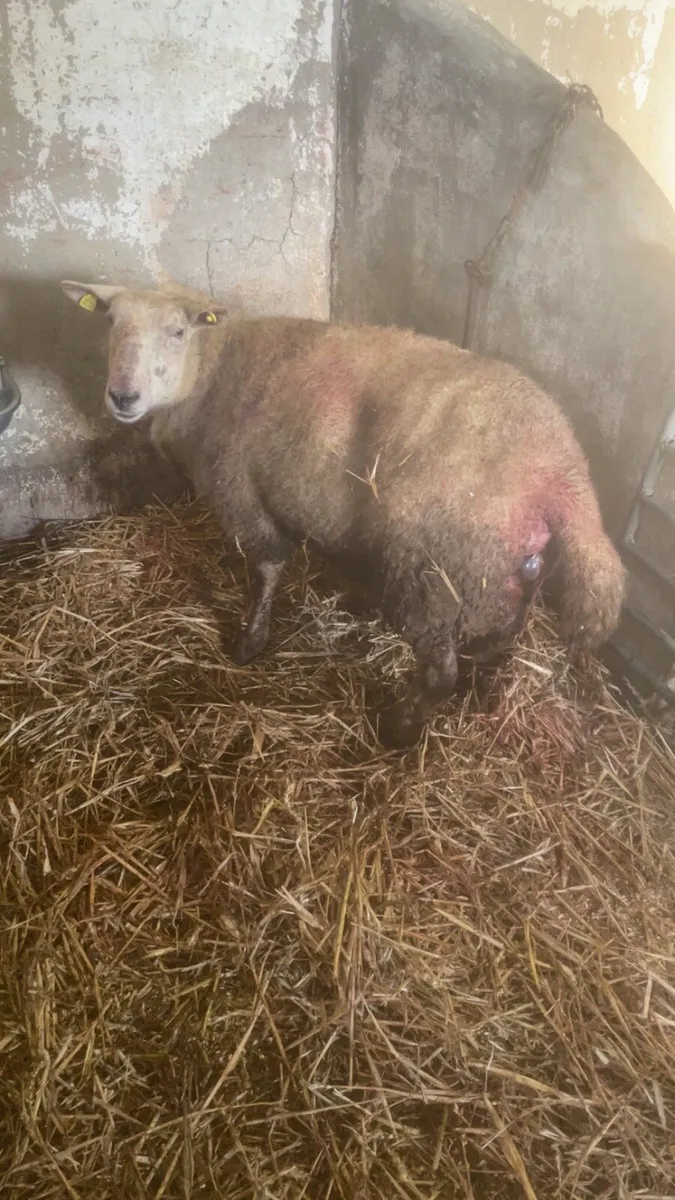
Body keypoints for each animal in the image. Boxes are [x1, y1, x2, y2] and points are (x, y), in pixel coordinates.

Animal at [61, 278, 625, 747]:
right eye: (111, 323)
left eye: (178, 331)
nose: (123, 397)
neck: (215, 369)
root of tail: (562, 474)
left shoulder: (242, 493)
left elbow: (266, 568)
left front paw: (250, 643)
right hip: (504, 569)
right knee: (502, 634)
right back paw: (480, 681)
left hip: (436, 570)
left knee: (438, 672)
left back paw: (400, 730)